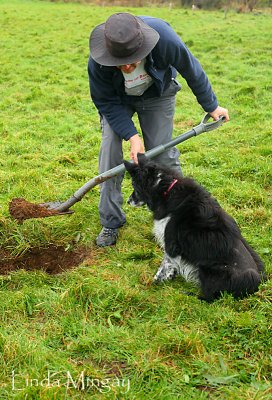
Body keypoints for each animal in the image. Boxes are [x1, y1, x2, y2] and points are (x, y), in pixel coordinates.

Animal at [125, 155, 266, 302]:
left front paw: (157, 281)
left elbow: (165, 263)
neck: (166, 190)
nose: (127, 201)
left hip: (208, 269)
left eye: (134, 185)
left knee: (211, 297)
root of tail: (256, 283)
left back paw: (190, 294)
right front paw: (169, 276)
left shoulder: (171, 242)